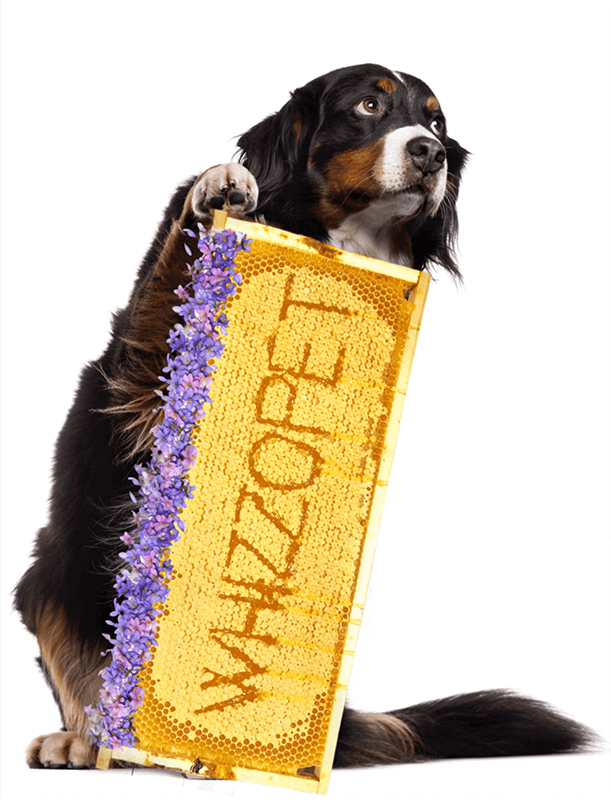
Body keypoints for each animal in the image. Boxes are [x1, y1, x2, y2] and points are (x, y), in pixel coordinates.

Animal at [13, 64, 592, 776]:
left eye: (437, 122)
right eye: (367, 105)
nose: (430, 154)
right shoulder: (144, 371)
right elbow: (171, 275)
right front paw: (214, 186)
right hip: (49, 571)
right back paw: (87, 741)